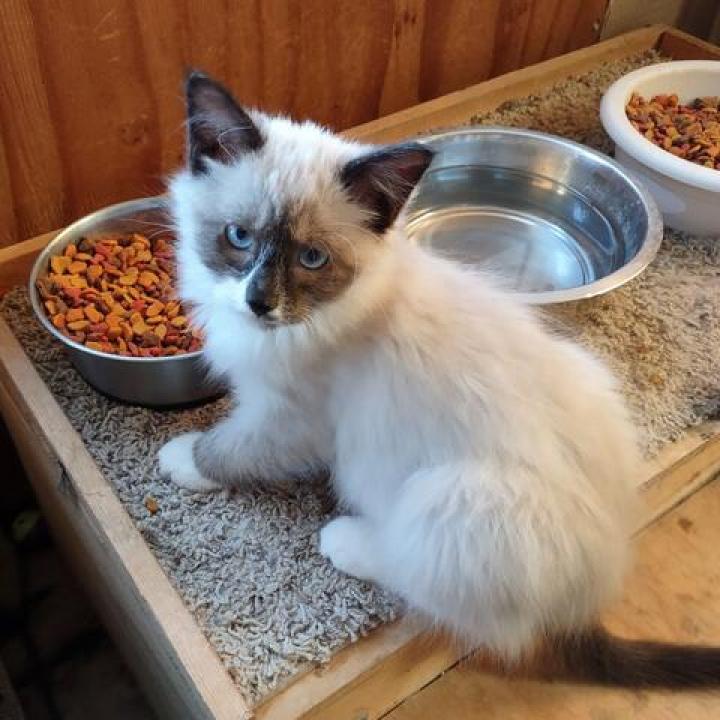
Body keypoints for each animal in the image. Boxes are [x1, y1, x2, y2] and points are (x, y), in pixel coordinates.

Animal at [160, 71, 720, 688]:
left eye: (311, 259)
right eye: (239, 237)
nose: (259, 303)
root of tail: (586, 595)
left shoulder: (289, 417)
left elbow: (231, 447)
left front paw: (183, 460)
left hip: (446, 498)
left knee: (423, 577)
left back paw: (344, 540)